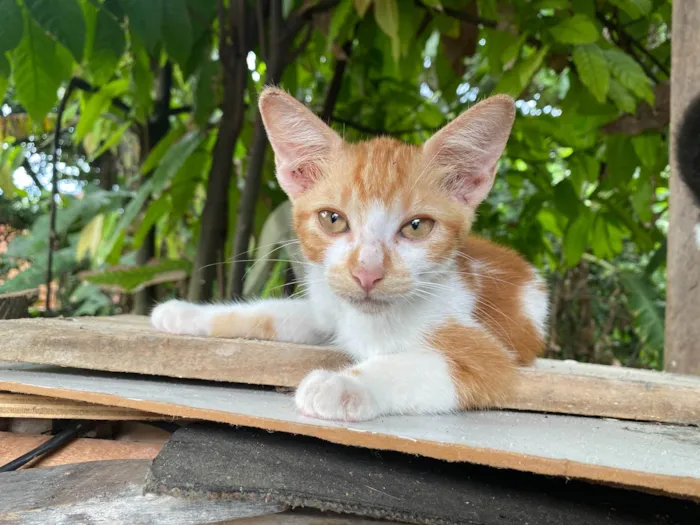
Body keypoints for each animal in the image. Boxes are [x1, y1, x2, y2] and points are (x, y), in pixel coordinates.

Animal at [152, 86, 548, 422]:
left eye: (416, 227)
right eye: (332, 219)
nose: (367, 273)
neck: (369, 321)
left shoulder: (485, 353)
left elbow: (424, 367)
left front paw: (342, 383)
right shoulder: (328, 310)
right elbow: (268, 313)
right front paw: (186, 314)